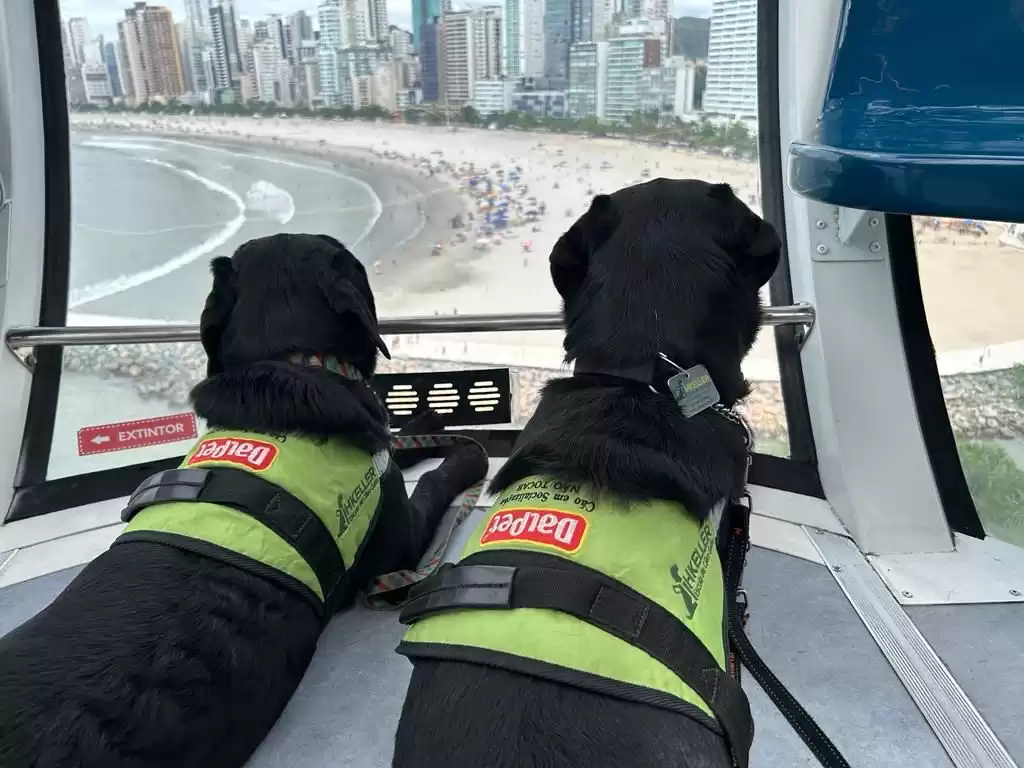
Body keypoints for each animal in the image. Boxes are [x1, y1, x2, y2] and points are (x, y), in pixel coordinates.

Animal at [0, 234, 487, 768]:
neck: (286, 361)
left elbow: (400, 443)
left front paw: (424, 425)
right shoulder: (396, 548)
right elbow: (432, 482)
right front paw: (462, 453)